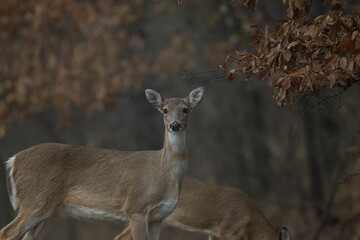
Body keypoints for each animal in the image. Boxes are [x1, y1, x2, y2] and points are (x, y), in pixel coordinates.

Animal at [0, 86, 204, 240]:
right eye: (165, 110)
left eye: (185, 109)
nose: (175, 125)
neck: (163, 172)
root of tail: (13, 160)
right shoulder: (136, 208)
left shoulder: (158, 217)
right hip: (36, 201)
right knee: (6, 233)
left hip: (51, 211)